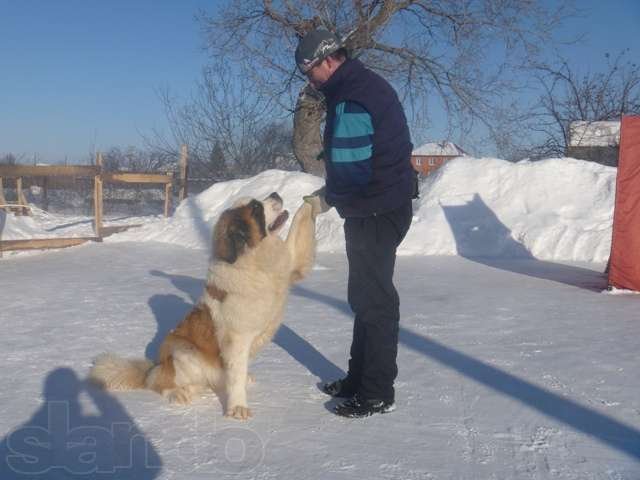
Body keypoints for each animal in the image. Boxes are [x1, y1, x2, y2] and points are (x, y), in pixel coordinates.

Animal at [90, 193, 318, 418]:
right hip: (183, 351)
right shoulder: (236, 339)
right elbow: (235, 374)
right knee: (158, 381)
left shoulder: (291, 263)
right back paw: (179, 393)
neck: (253, 258)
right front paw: (237, 407)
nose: (275, 194)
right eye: (256, 208)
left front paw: (311, 203)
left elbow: (298, 229)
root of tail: (156, 365)